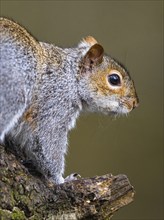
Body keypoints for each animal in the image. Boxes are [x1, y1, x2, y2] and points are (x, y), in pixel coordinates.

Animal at [0, 18, 139, 184]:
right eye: (114, 79)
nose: (135, 103)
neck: (70, 76)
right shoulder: (55, 102)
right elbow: (48, 139)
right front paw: (62, 180)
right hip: (13, 91)